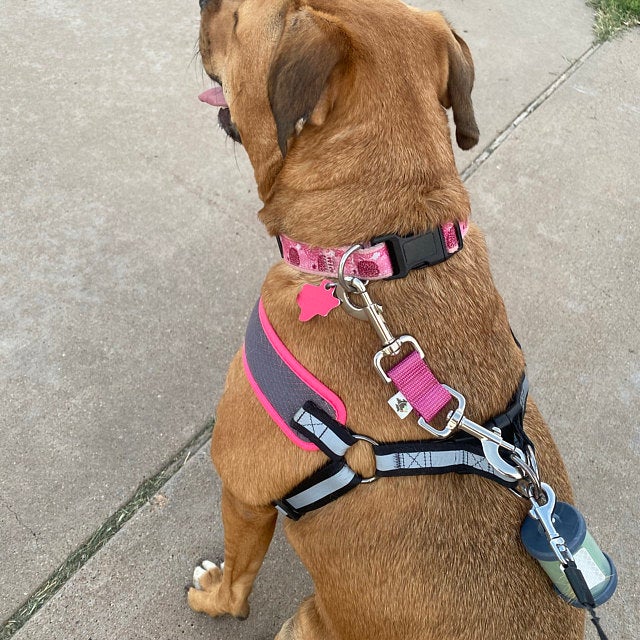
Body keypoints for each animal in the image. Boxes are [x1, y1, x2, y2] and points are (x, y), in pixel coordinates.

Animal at [186, 0, 584, 636]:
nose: (204, 2)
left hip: (303, 619)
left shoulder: (243, 489)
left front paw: (213, 595)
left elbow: (238, 578)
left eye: (241, 18)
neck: (382, 253)